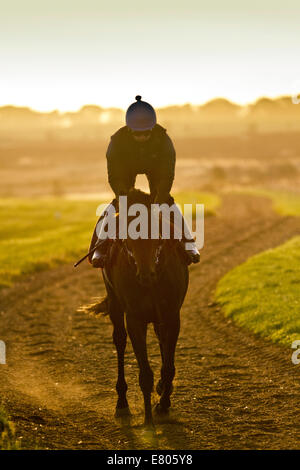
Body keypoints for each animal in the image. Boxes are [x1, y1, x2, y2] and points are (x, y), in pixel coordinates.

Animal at [101, 189, 189, 428]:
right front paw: (148, 418)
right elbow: (144, 373)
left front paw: (163, 403)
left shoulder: (171, 315)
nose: (145, 275)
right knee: (119, 340)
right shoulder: (134, 318)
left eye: (156, 233)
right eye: (128, 237)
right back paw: (122, 402)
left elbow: (168, 367)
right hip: (115, 303)